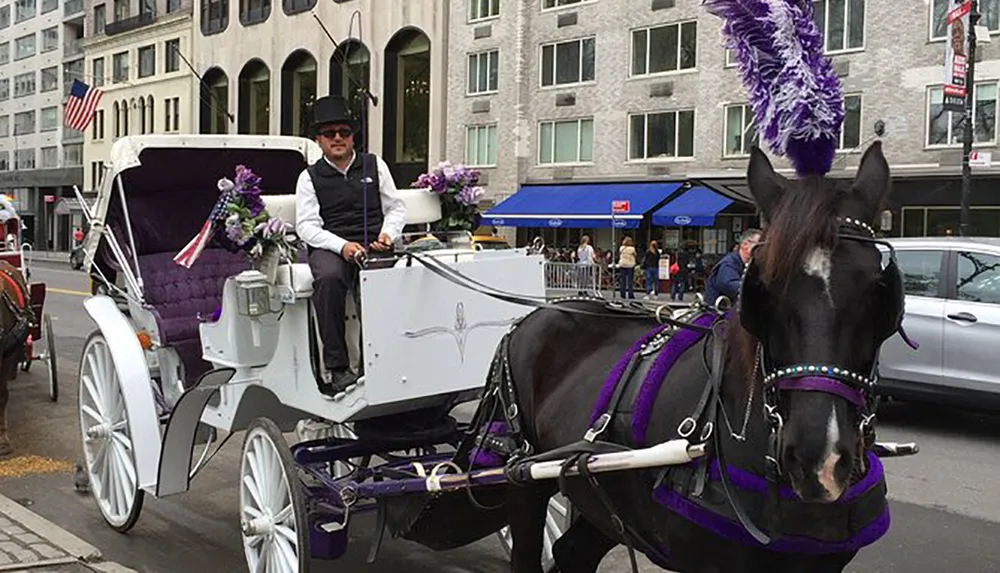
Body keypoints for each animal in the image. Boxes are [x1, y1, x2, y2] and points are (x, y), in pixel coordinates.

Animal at [498, 140, 900, 572]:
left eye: (878, 289)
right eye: (763, 288)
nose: (818, 459)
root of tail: (540, 312)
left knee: (573, 551)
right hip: (523, 480)